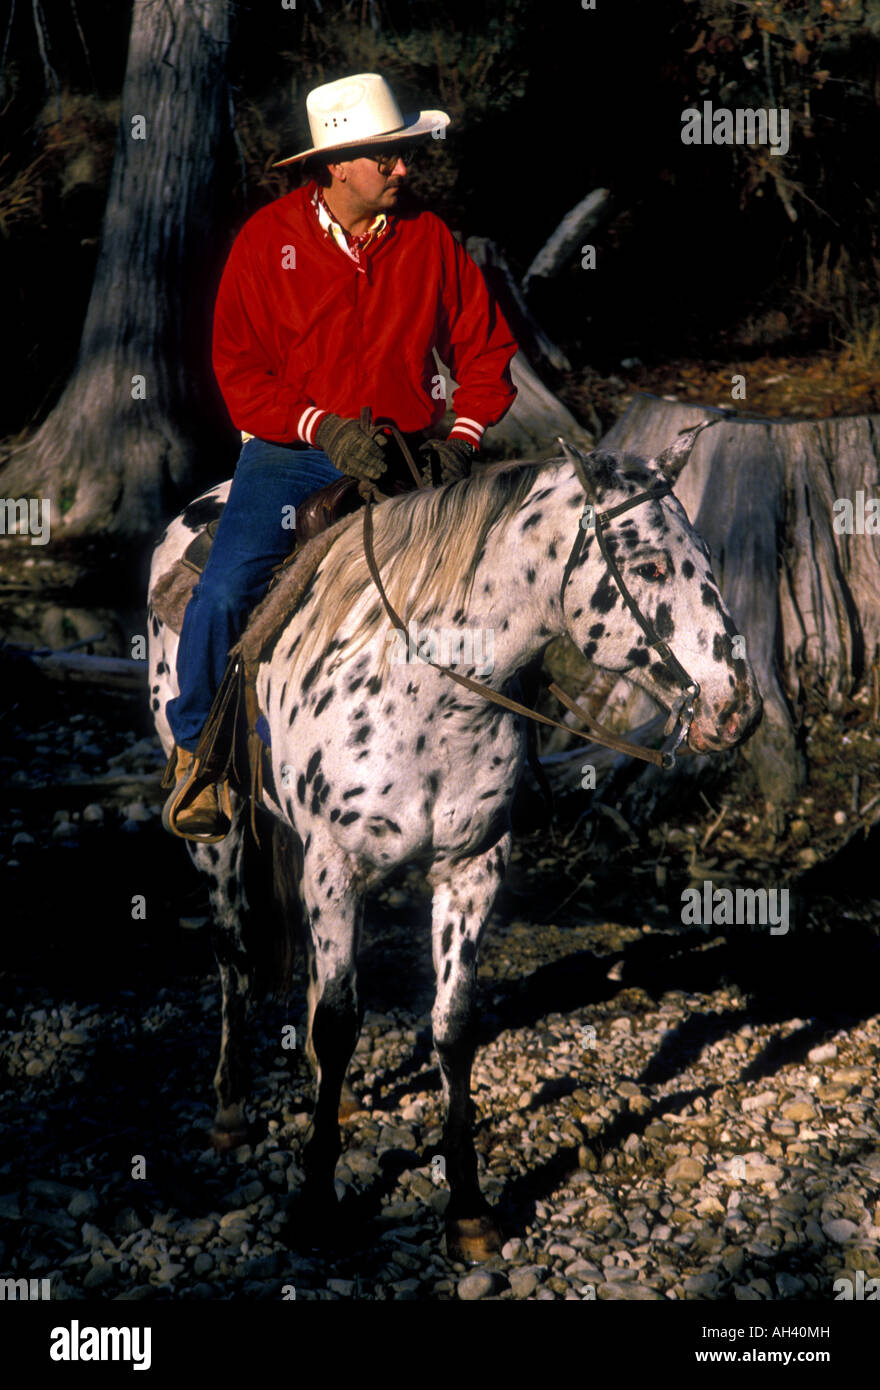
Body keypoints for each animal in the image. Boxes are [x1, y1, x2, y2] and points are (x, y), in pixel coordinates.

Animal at [147, 432, 763, 1263]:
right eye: (653, 567)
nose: (739, 708)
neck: (428, 696)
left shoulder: (472, 870)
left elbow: (452, 1025)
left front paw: (467, 1205)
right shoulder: (335, 868)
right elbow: (339, 1023)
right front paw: (315, 1201)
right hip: (223, 833)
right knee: (234, 950)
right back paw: (232, 1107)